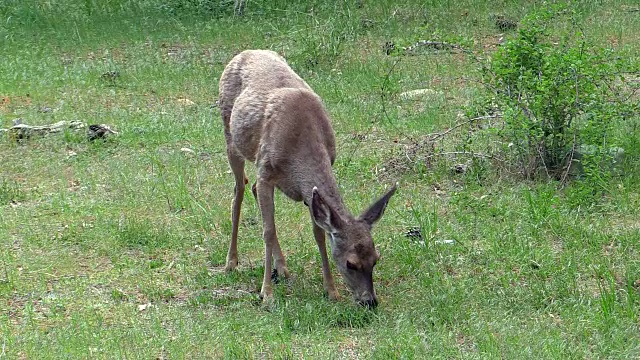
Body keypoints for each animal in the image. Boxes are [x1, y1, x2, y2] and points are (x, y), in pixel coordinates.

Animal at [218, 50, 396, 306]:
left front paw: (331, 290)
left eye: (375, 258)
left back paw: (282, 267)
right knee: (239, 190)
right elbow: (267, 231)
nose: (370, 301)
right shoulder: (265, 169)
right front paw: (266, 294)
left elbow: (319, 233)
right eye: (350, 263)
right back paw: (231, 262)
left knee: (251, 188)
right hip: (229, 133)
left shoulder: (308, 190)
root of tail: (245, 52)